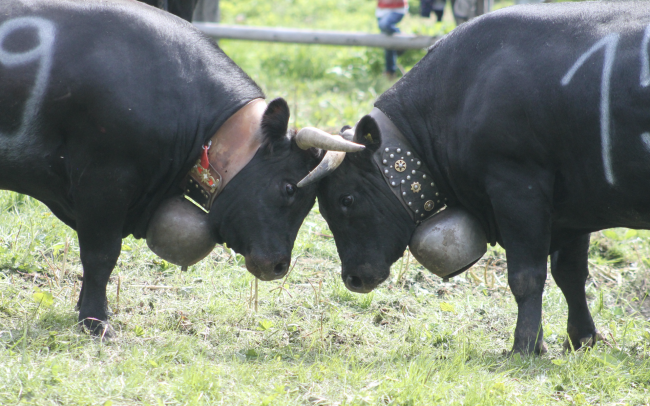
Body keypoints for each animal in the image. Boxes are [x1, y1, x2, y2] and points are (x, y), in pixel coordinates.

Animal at [308, 1, 648, 354]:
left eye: (346, 199)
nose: (352, 279)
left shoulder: (518, 187)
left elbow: (526, 276)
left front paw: (525, 346)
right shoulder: (572, 208)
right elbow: (570, 274)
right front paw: (582, 339)